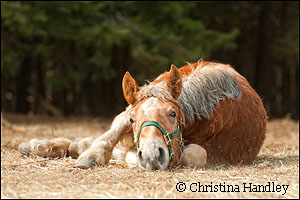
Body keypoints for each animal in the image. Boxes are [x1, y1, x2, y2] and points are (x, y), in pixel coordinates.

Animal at [18, 60, 268, 170]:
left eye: (173, 113)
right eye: (133, 119)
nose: (150, 155)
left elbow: (194, 154)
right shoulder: (126, 118)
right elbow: (112, 136)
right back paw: (42, 146)